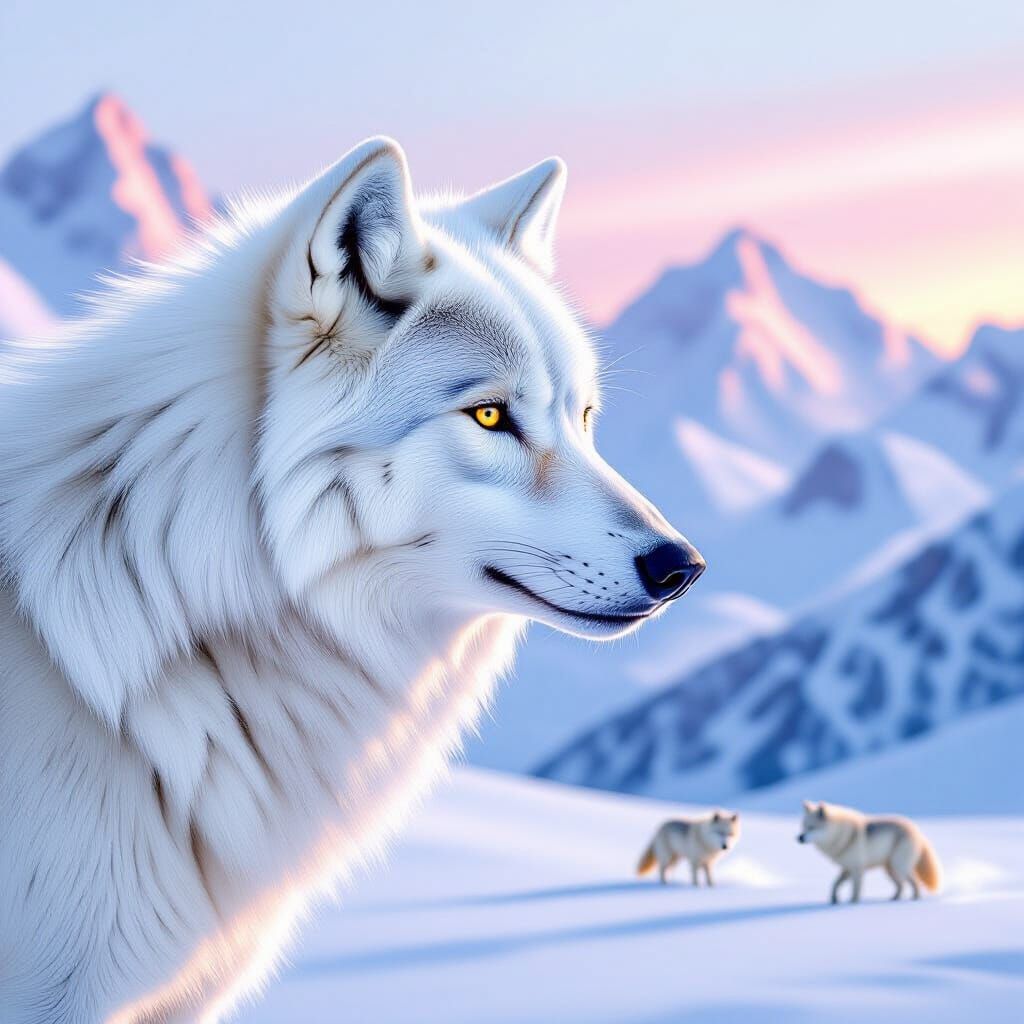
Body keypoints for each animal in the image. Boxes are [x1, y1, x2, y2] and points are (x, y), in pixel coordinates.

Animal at [797, 801, 942, 903]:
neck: (842, 835)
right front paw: (834, 900)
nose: (799, 837)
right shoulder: (846, 869)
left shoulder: (857, 869)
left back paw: (913, 900)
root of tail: (917, 831)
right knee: (901, 885)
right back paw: (894, 899)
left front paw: (852, 904)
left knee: (913, 883)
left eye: (812, 827)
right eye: (803, 826)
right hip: (889, 870)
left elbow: (855, 891)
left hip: (899, 867)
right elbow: (835, 884)